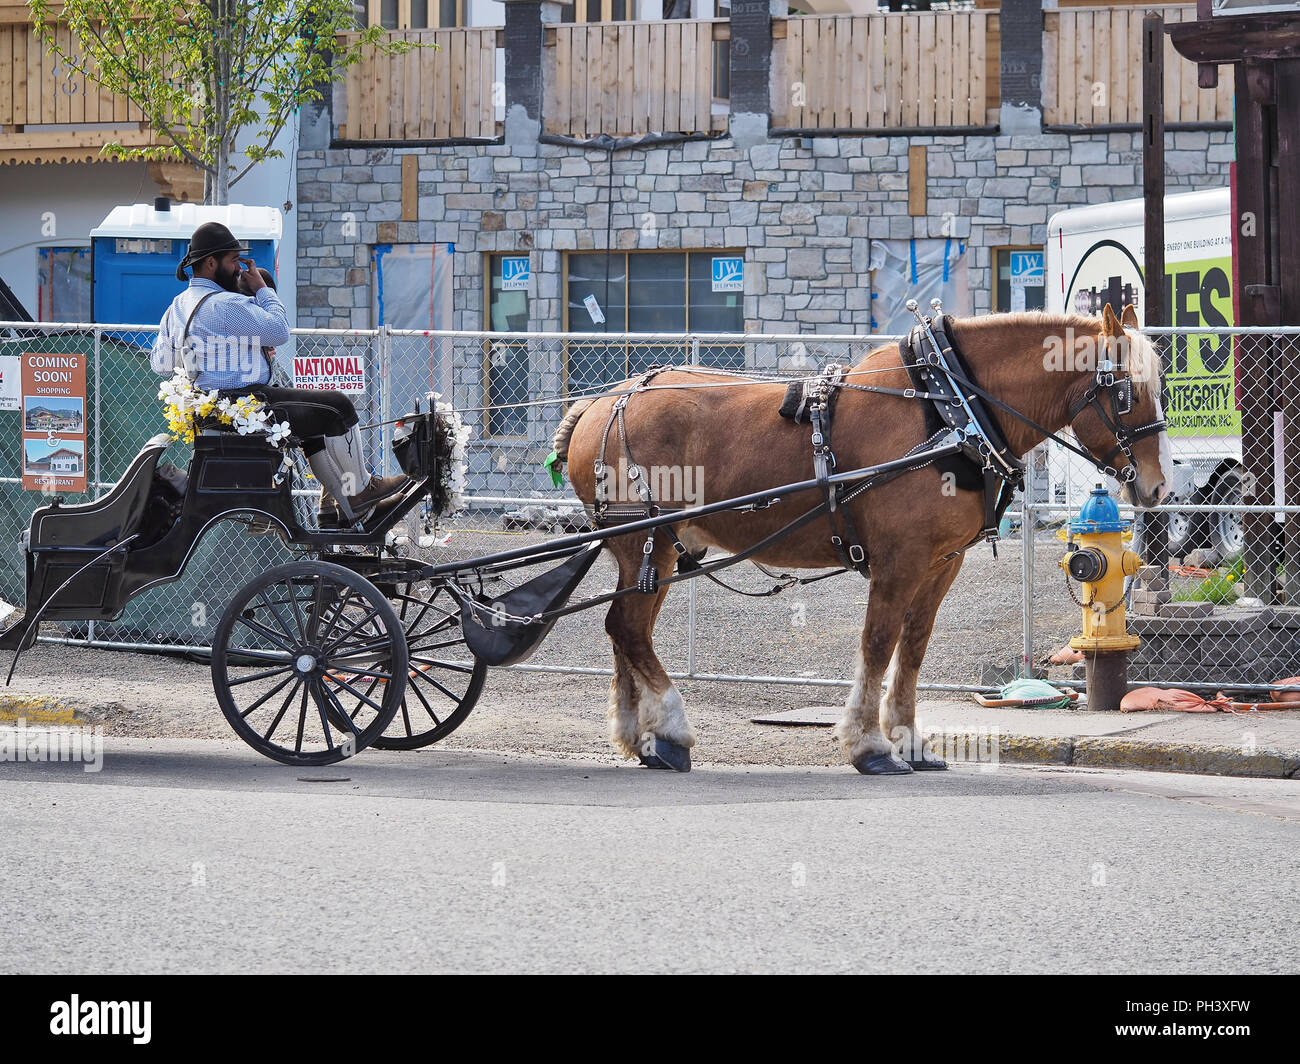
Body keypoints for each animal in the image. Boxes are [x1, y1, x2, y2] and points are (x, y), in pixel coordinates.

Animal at [553, 304, 1175, 770]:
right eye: (1127, 392)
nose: (1158, 485)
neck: (949, 409)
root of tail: (601, 400)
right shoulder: (899, 560)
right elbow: (877, 643)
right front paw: (869, 745)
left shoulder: (940, 562)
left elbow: (913, 646)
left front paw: (910, 741)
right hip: (650, 542)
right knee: (629, 629)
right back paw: (674, 730)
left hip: (648, 552)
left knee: (623, 629)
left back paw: (643, 738)